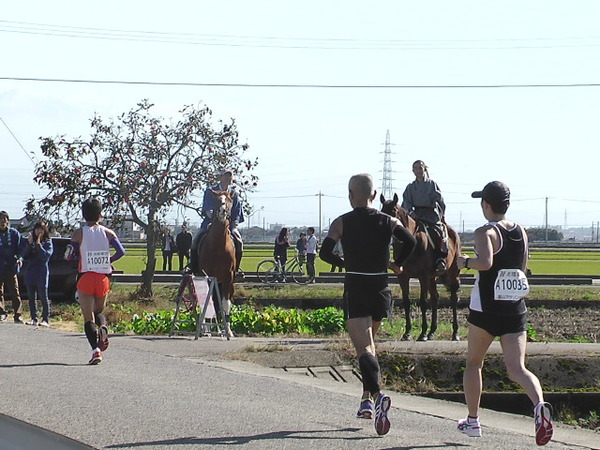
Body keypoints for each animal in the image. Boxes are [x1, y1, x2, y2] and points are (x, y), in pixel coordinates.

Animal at [196, 191, 236, 338]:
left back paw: (219, 329)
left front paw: (228, 330)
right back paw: (206, 328)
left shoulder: (228, 277)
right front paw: (207, 329)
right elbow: (209, 301)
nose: (223, 211)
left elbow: (225, 303)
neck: (219, 245)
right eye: (217, 200)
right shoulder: (207, 275)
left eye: (229, 200)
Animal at [382, 193, 462, 342]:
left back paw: (455, 333)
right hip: (432, 277)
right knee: (435, 298)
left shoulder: (422, 276)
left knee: (453, 299)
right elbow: (406, 302)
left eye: (394, 211)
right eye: (382, 211)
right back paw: (432, 332)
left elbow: (423, 302)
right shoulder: (403, 277)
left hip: (452, 272)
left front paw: (422, 333)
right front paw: (407, 333)